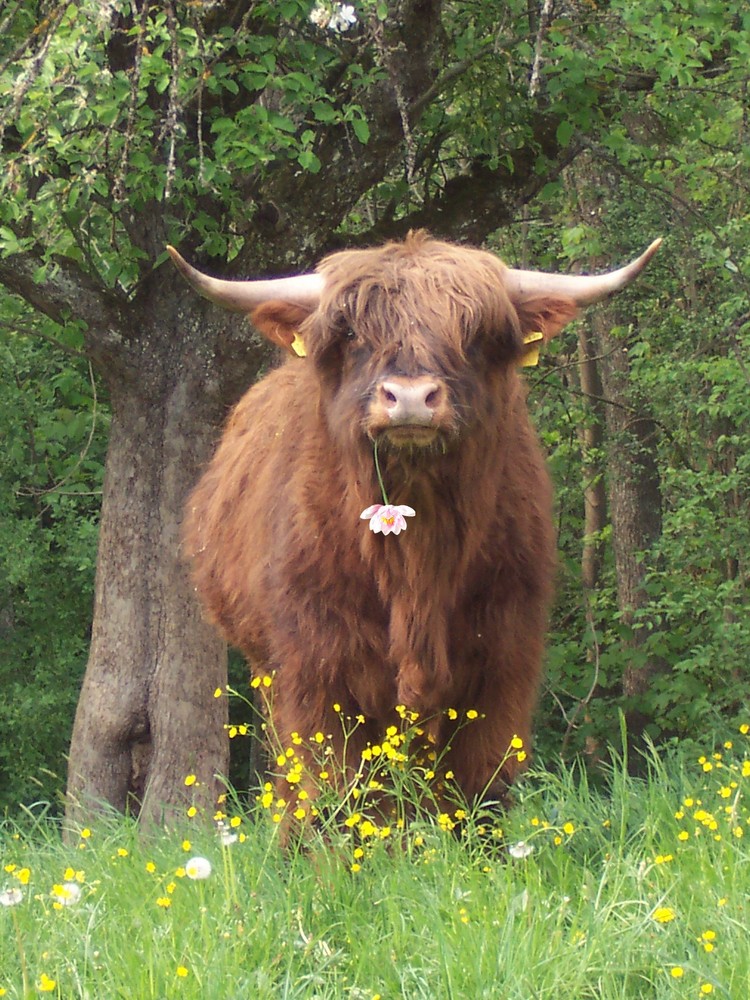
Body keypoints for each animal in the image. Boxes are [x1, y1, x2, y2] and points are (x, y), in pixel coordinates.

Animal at [170, 232, 656, 820]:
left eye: (475, 333)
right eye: (351, 332)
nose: (408, 398)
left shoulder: (504, 657)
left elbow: (480, 785)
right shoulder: (314, 665)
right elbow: (334, 788)